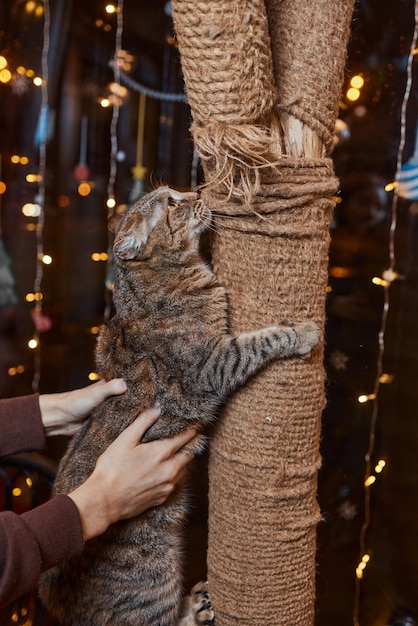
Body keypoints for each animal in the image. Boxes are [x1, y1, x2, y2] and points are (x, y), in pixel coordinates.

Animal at [40, 186, 320, 624]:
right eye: (172, 203)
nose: (197, 191)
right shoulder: (211, 364)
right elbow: (261, 340)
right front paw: (302, 331)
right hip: (151, 581)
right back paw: (200, 607)